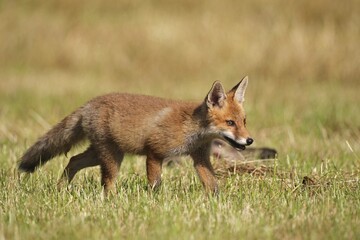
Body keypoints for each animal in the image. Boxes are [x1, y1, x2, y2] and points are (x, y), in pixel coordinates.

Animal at [17, 76, 253, 194]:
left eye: (243, 121)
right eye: (230, 123)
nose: (249, 140)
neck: (191, 128)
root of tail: (89, 104)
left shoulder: (200, 158)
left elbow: (213, 185)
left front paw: (217, 203)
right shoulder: (155, 153)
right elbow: (155, 185)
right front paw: (155, 203)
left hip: (101, 154)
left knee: (73, 161)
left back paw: (60, 190)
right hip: (111, 157)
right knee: (107, 182)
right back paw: (110, 201)